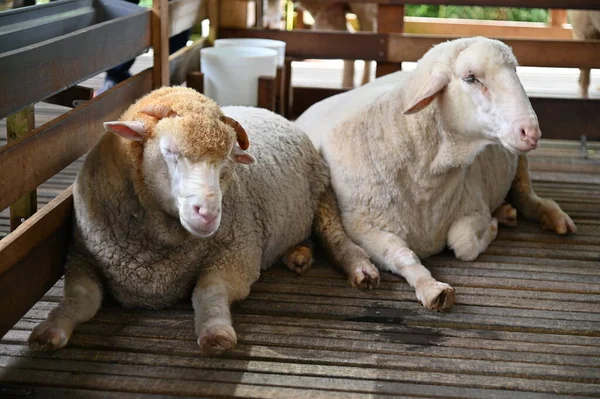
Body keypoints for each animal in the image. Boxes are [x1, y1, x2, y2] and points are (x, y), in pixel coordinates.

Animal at [27, 87, 332, 356]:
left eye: (226, 163)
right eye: (169, 151)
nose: (208, 213)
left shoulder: (236, 256)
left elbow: (208, 292)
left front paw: (216, 333)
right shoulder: (80, 258)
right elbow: (81, 299)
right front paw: (50, 331)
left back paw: (299, 255)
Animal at [296, 36, 576, 312]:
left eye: (515, 72)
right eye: (470, 77)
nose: (531, 132)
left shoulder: (474, 204)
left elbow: (463, 242)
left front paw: (492, 226)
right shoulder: (363, 228)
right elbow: (403, 256)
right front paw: (432, 288)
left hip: (520, 162)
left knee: (528, 197)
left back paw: (550, 217)